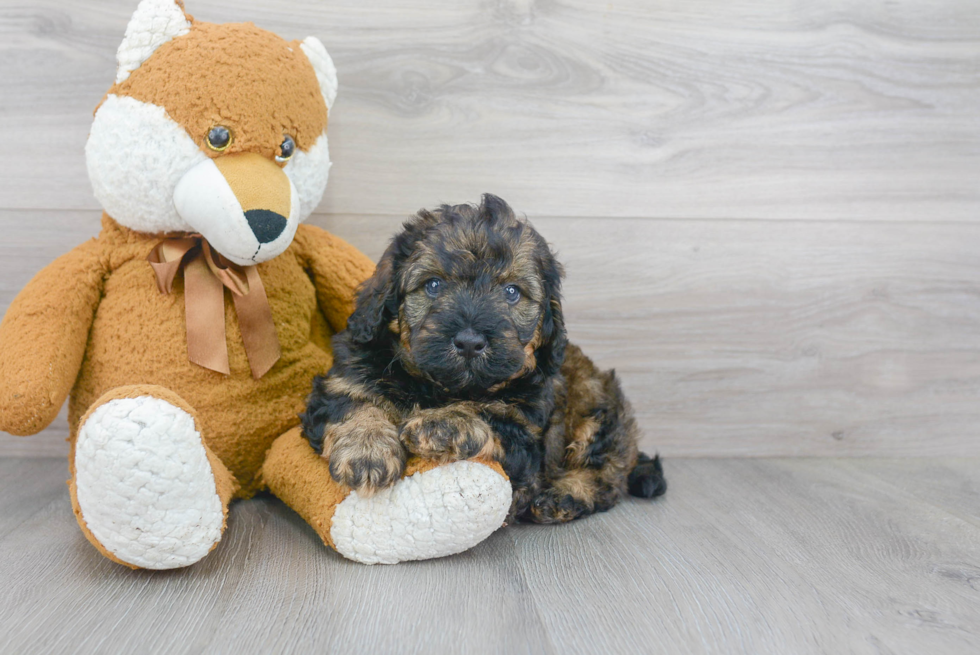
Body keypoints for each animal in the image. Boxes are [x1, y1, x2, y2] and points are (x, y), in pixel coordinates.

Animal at [298, 193, 668, 524]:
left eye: (512, 292)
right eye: (433, 285)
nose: (469, 342)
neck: (438, 387)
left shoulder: (526, 438)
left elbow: (489, 413)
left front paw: (443, 422)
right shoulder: (343, 379)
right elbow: (354, 402)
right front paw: (367, 448)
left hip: (599, 411)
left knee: (607, 477)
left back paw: (565, 496)